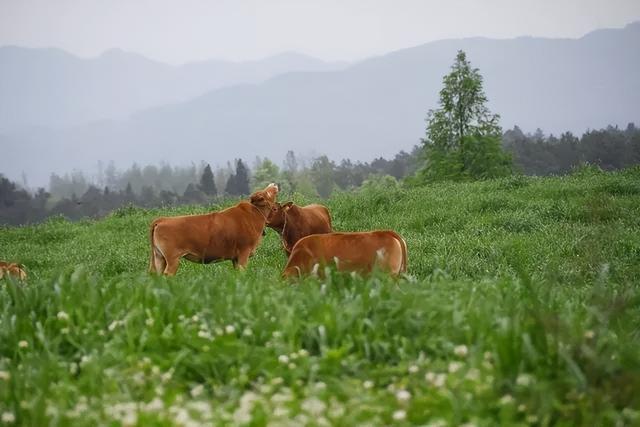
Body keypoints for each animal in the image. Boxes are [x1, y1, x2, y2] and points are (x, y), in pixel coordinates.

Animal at [150, 182, 280, 276]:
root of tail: (162, 220)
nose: (273, 184)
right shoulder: (244, 253)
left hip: (159, 257)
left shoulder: (235, 258)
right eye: (267, 192)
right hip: (172, 259)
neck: (254, 215)